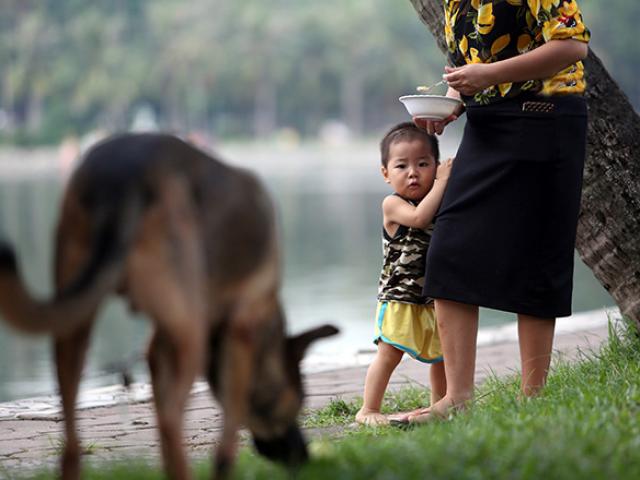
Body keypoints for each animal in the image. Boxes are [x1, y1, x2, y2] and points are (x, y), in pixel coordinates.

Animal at [0, 132, 340, 480]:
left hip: (73, 322)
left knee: (72, 443)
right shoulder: (240, 332)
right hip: (189, 335)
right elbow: (228, 435)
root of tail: (124, 174)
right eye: (297, 402)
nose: (304, 455)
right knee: (170, 421)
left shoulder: (160, 342)